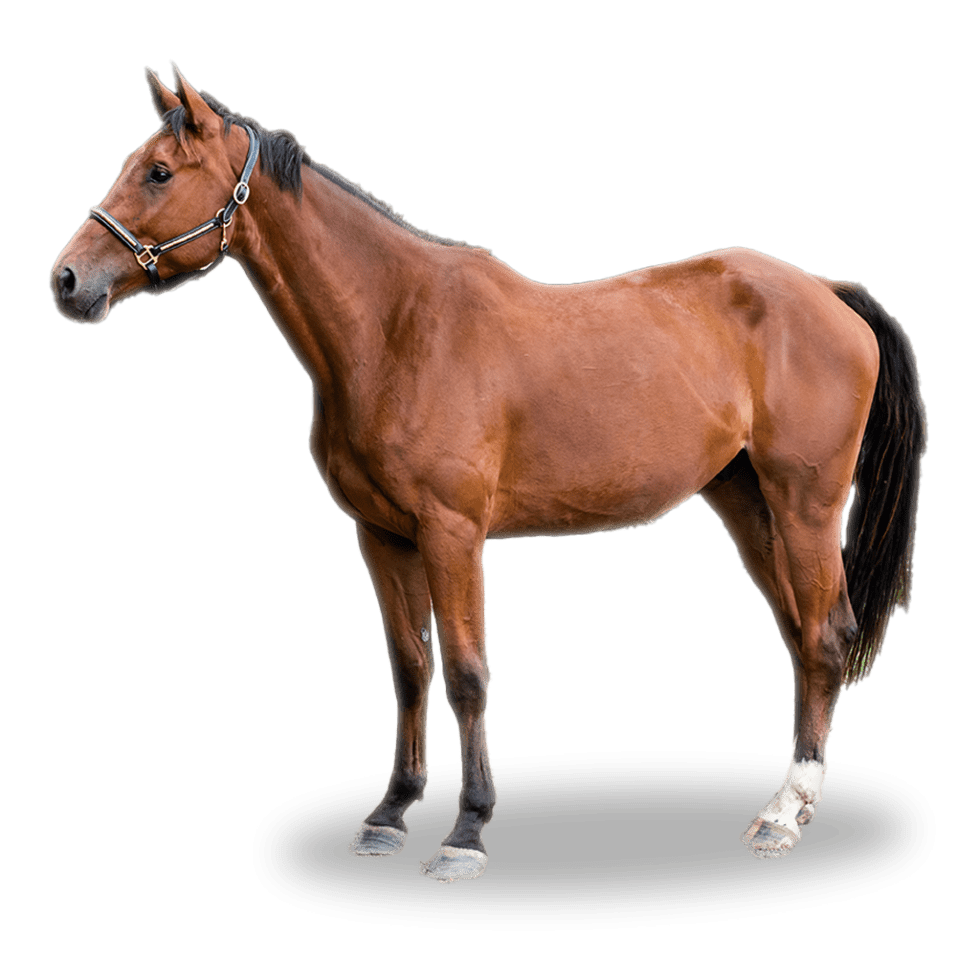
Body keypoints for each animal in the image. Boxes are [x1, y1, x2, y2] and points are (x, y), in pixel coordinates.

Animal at [50, 63, 928, 884]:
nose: (66, 281)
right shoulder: (380, 536)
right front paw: (389, 818)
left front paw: (465, 834)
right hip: (742, 502)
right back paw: (788, 804)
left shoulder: (453, 532)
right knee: (800, 637)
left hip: (806, 505)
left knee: (826, 635)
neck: (396, 327)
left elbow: (468, 676)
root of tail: (827, 291)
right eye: (136, 163)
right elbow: (410, 670)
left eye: (160, 171)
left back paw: (783, 817)